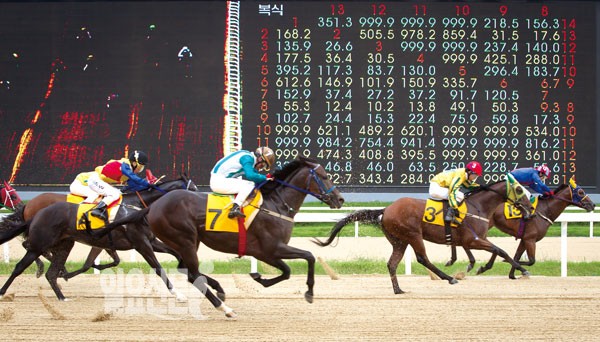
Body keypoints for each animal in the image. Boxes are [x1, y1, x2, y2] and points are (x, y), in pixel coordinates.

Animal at [145, 156, 344, 316]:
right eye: (325, 177)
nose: (340, 199)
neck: (276, 205)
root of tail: (154, 206)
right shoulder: (272, 248)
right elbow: (309, 256)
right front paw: (309, 293)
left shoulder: (264, 253)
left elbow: (287, 271)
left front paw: (260, 278)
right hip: (184, 240)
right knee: (193, 275)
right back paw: (225, 308)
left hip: (190, 242)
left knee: (186, 270)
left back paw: (219, 290)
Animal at [312, 180, 532, 296]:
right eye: (519, 189)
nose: (530, 208)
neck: (477, 207)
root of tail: (386, 209)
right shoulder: (472, 240)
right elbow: (500, 250)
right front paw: (522, 270)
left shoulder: (473, 240)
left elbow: (496, 250)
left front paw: (481, 267)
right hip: (413, 235)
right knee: (422, 258)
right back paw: (449, 278)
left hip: (399, 240)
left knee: (392, 263)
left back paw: (399, 290)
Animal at [446, 178, 596, 280]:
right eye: (581, 191)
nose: (593, 205)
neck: (544, 210)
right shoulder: (530, 239)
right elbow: (531, 260)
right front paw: (509, 265)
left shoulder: (524, 239)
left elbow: (517, 256)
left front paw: (512, 274)